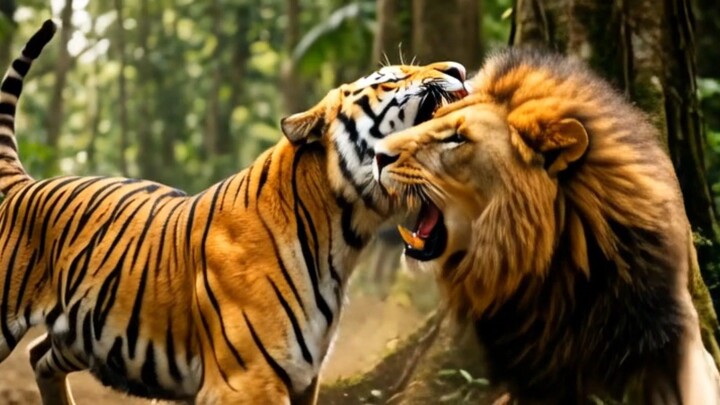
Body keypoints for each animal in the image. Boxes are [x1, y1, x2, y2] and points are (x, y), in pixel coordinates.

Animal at [0, 20, 467, 404]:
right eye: (392, 79)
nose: (461, 69)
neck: (344, 233)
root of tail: (23, 182)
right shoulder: (248, 380)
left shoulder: (303, 380)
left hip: (82, 332)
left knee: (40, 356)